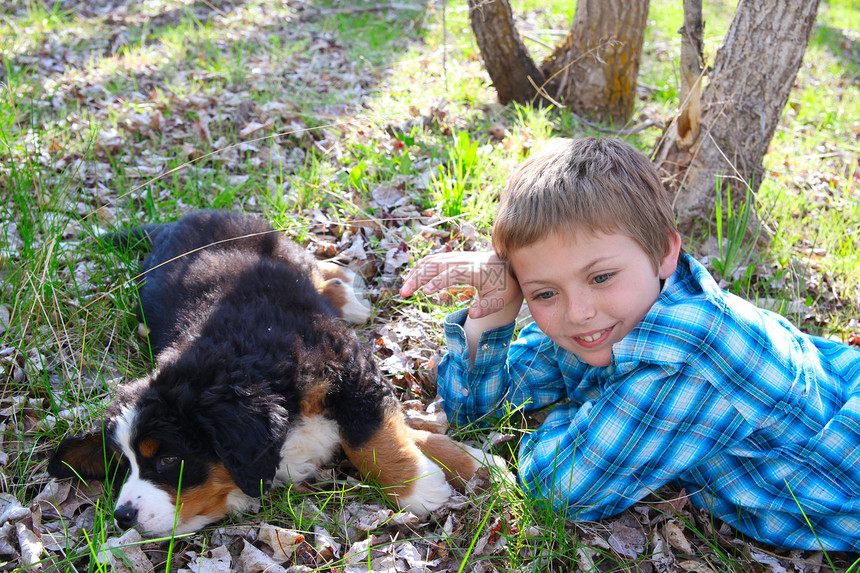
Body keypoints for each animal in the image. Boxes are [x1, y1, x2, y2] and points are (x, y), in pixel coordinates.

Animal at [48, 210, 504, 536]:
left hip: (280, 248)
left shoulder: (347, 370)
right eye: (122, 466)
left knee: (317, 269)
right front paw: (470, 465)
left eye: (168, 459)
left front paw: (424, 485)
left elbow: (374, 437)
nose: (123, 516)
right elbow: (398, 432)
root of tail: (177, 221)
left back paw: (347, 289)